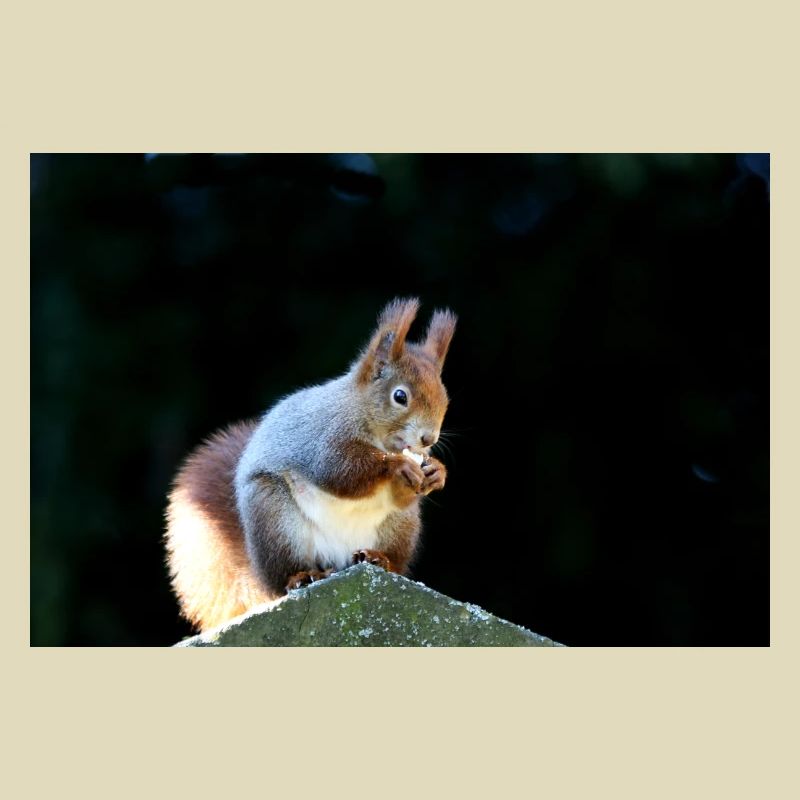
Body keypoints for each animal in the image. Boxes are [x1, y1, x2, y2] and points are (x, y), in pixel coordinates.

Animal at [164, 297, 456, 631]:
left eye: (445, 398)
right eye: (400, 396)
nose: (428, 438)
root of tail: (337, 559)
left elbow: (401, 494)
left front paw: (436, 472)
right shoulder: (322, 440)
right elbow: (340, 471)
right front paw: (396, 467)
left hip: (400, 526)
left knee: (393, 554)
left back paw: (379, 559)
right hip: (275, 518)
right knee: (285, 574)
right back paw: (303, 576)